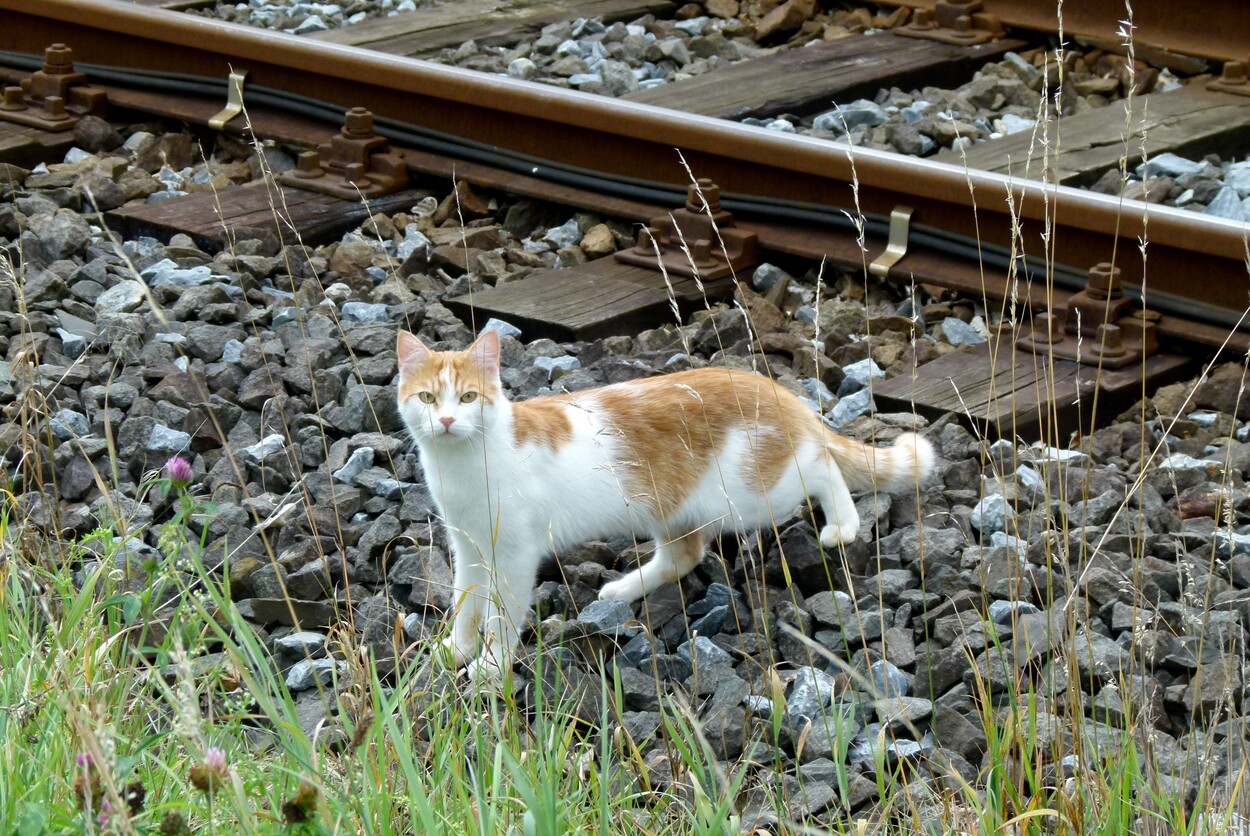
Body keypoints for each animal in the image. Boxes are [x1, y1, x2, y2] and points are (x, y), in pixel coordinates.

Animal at [395, 329, 935, 679]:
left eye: (468, 398)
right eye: (427, 398)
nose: (447, 421)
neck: (462, 465)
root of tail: (778, 391)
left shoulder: (512, 554)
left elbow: (502, 613)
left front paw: (489, 664)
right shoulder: (468, 547)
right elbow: (466, 603)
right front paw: (455, 648)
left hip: (756, 493)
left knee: (822, 463)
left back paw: (842, 524)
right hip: (669, 506)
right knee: (685, 556)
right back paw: (621, 591)